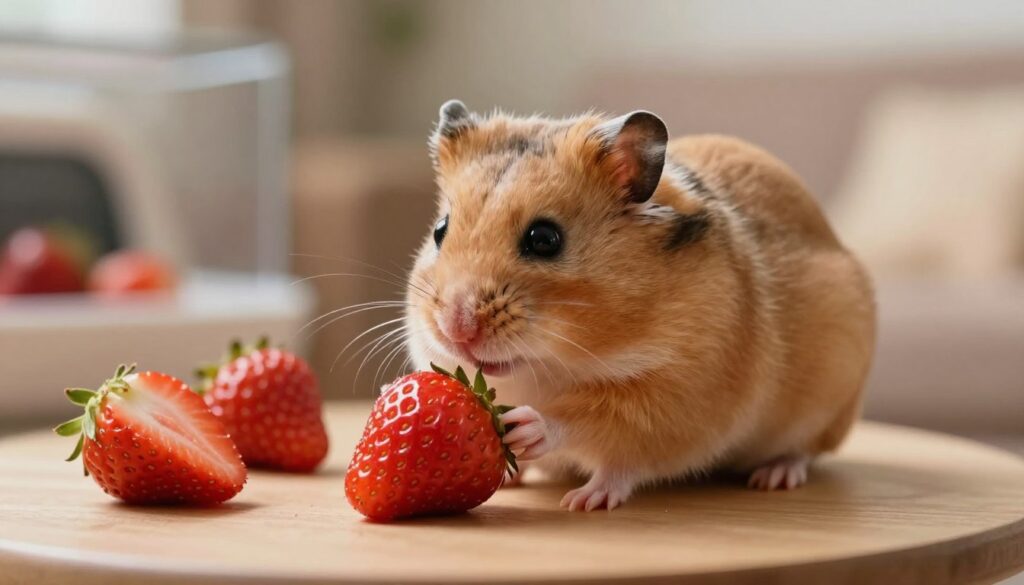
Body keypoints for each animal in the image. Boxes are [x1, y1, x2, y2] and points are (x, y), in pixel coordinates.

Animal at [404, 99, 876, 511]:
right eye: (440, 230)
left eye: (544, 239)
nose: (456, 329)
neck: (550, 366)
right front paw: (509, 475)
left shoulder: (672, 396)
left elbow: (595, 433)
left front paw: (554, 467)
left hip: (829, 399)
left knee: (805, 451)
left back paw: (774, 476)